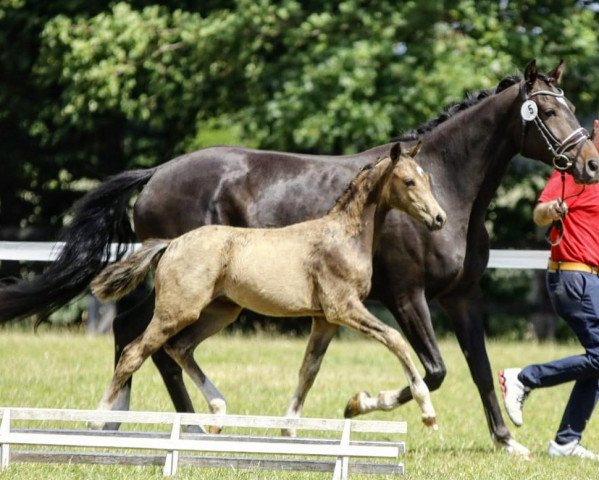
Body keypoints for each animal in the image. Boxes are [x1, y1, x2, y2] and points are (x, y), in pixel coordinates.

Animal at [1, 61, 599, 458]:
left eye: (570, 106)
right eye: (547, 110)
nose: (590, 163)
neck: (451, 186)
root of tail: (155, 174)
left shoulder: (461, 296)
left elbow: (476, 366)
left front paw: (506, 441)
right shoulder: (407, 297)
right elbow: (434, 369)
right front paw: (359, 404)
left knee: (140, 335)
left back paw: (138, 422)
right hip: (186, 289)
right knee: (146, 340)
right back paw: (163, 426)